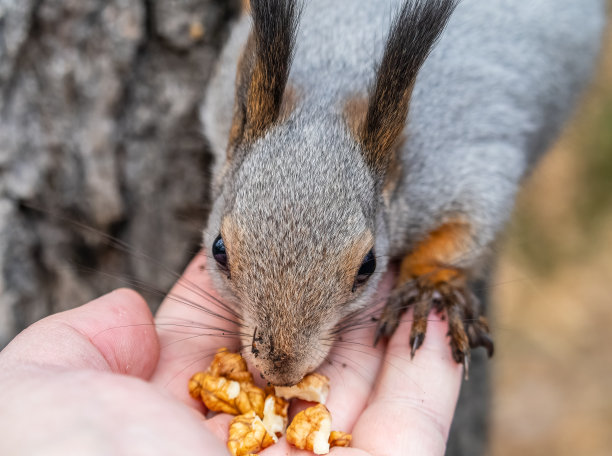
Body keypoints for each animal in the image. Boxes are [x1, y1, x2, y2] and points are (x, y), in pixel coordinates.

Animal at [200, 0, 604, 386]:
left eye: (368, 266)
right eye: (219, 250)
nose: (281, 371)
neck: (332, 95)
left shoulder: (463, 166)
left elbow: (473, 224)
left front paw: (432, 284)